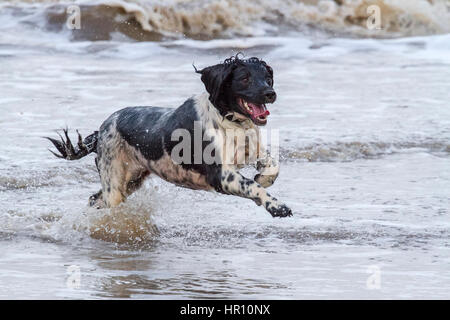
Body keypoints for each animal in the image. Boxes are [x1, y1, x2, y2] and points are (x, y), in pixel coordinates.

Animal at [45, 56, 292, 219]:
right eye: (245, 78)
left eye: (268, 77)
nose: (270, 93)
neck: (229, 120)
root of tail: (102, 128)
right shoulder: (222, 176)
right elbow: (252, 186)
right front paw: (276, 206)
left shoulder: (250, 151)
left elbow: (272, 165)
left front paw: (264, 178)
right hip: (114, 182)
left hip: (131, 180)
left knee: (94, 199)